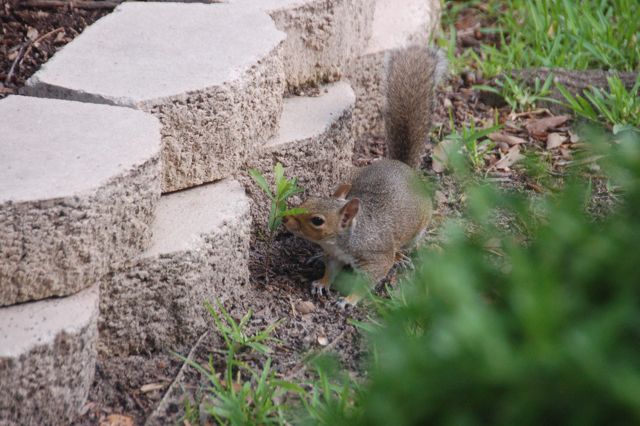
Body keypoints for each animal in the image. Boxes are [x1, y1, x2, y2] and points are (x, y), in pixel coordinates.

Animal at [282, 45, 448, 306]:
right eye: (308, 199)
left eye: (317, 220)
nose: (284, 220)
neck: (342, 239)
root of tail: (404, 167)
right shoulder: (335, 255)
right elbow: (331, 269)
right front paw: (321, 283)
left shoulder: (375, 258)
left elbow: (368, 281)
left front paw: (349, 299)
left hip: (417, 229)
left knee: (406, 246)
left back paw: (400, 256)